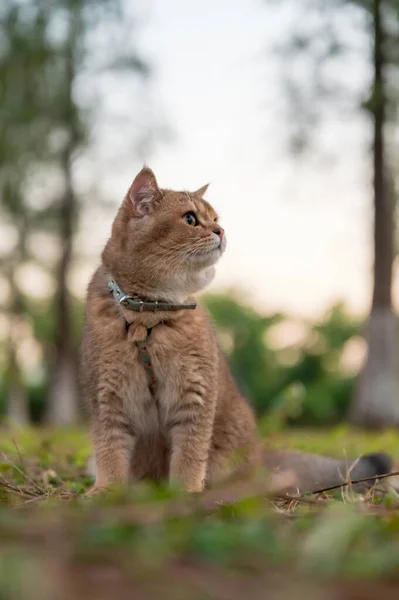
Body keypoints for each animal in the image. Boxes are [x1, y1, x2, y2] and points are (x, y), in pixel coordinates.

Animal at [81, 166, 394, 494]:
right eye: (190, 219)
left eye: (215, 218)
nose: (220, 231)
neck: (147, 319)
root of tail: (261, 455)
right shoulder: (107, 396)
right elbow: (109, 450)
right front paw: (106, 491)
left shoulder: (194, 394)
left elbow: (190, 452)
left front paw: (185, 492)